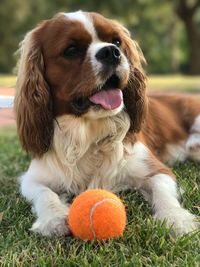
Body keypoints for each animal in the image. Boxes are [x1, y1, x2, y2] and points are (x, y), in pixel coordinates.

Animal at [14, 10, 200, 237]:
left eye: (116, 41)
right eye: (71, 50)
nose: (111, 52)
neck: (88, 130)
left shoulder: (157, 170)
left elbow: (162, 193)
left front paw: (176, 219)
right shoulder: (32, 177)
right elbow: (43, 193)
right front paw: (53, 218)